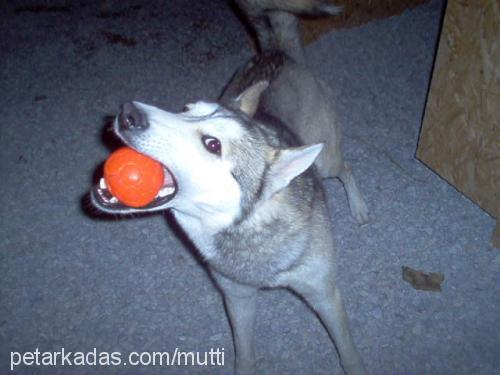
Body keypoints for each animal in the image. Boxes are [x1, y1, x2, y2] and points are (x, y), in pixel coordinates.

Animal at [92, 0, 368, 375]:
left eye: (212, 144)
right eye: (186, 109)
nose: (127, 112)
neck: (249, 229)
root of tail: (277, 52)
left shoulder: (324, 293)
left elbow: (347, 350)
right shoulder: (237, 297)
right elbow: (245, 352)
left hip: (325, 160)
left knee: (346, 169)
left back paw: (358, 205)